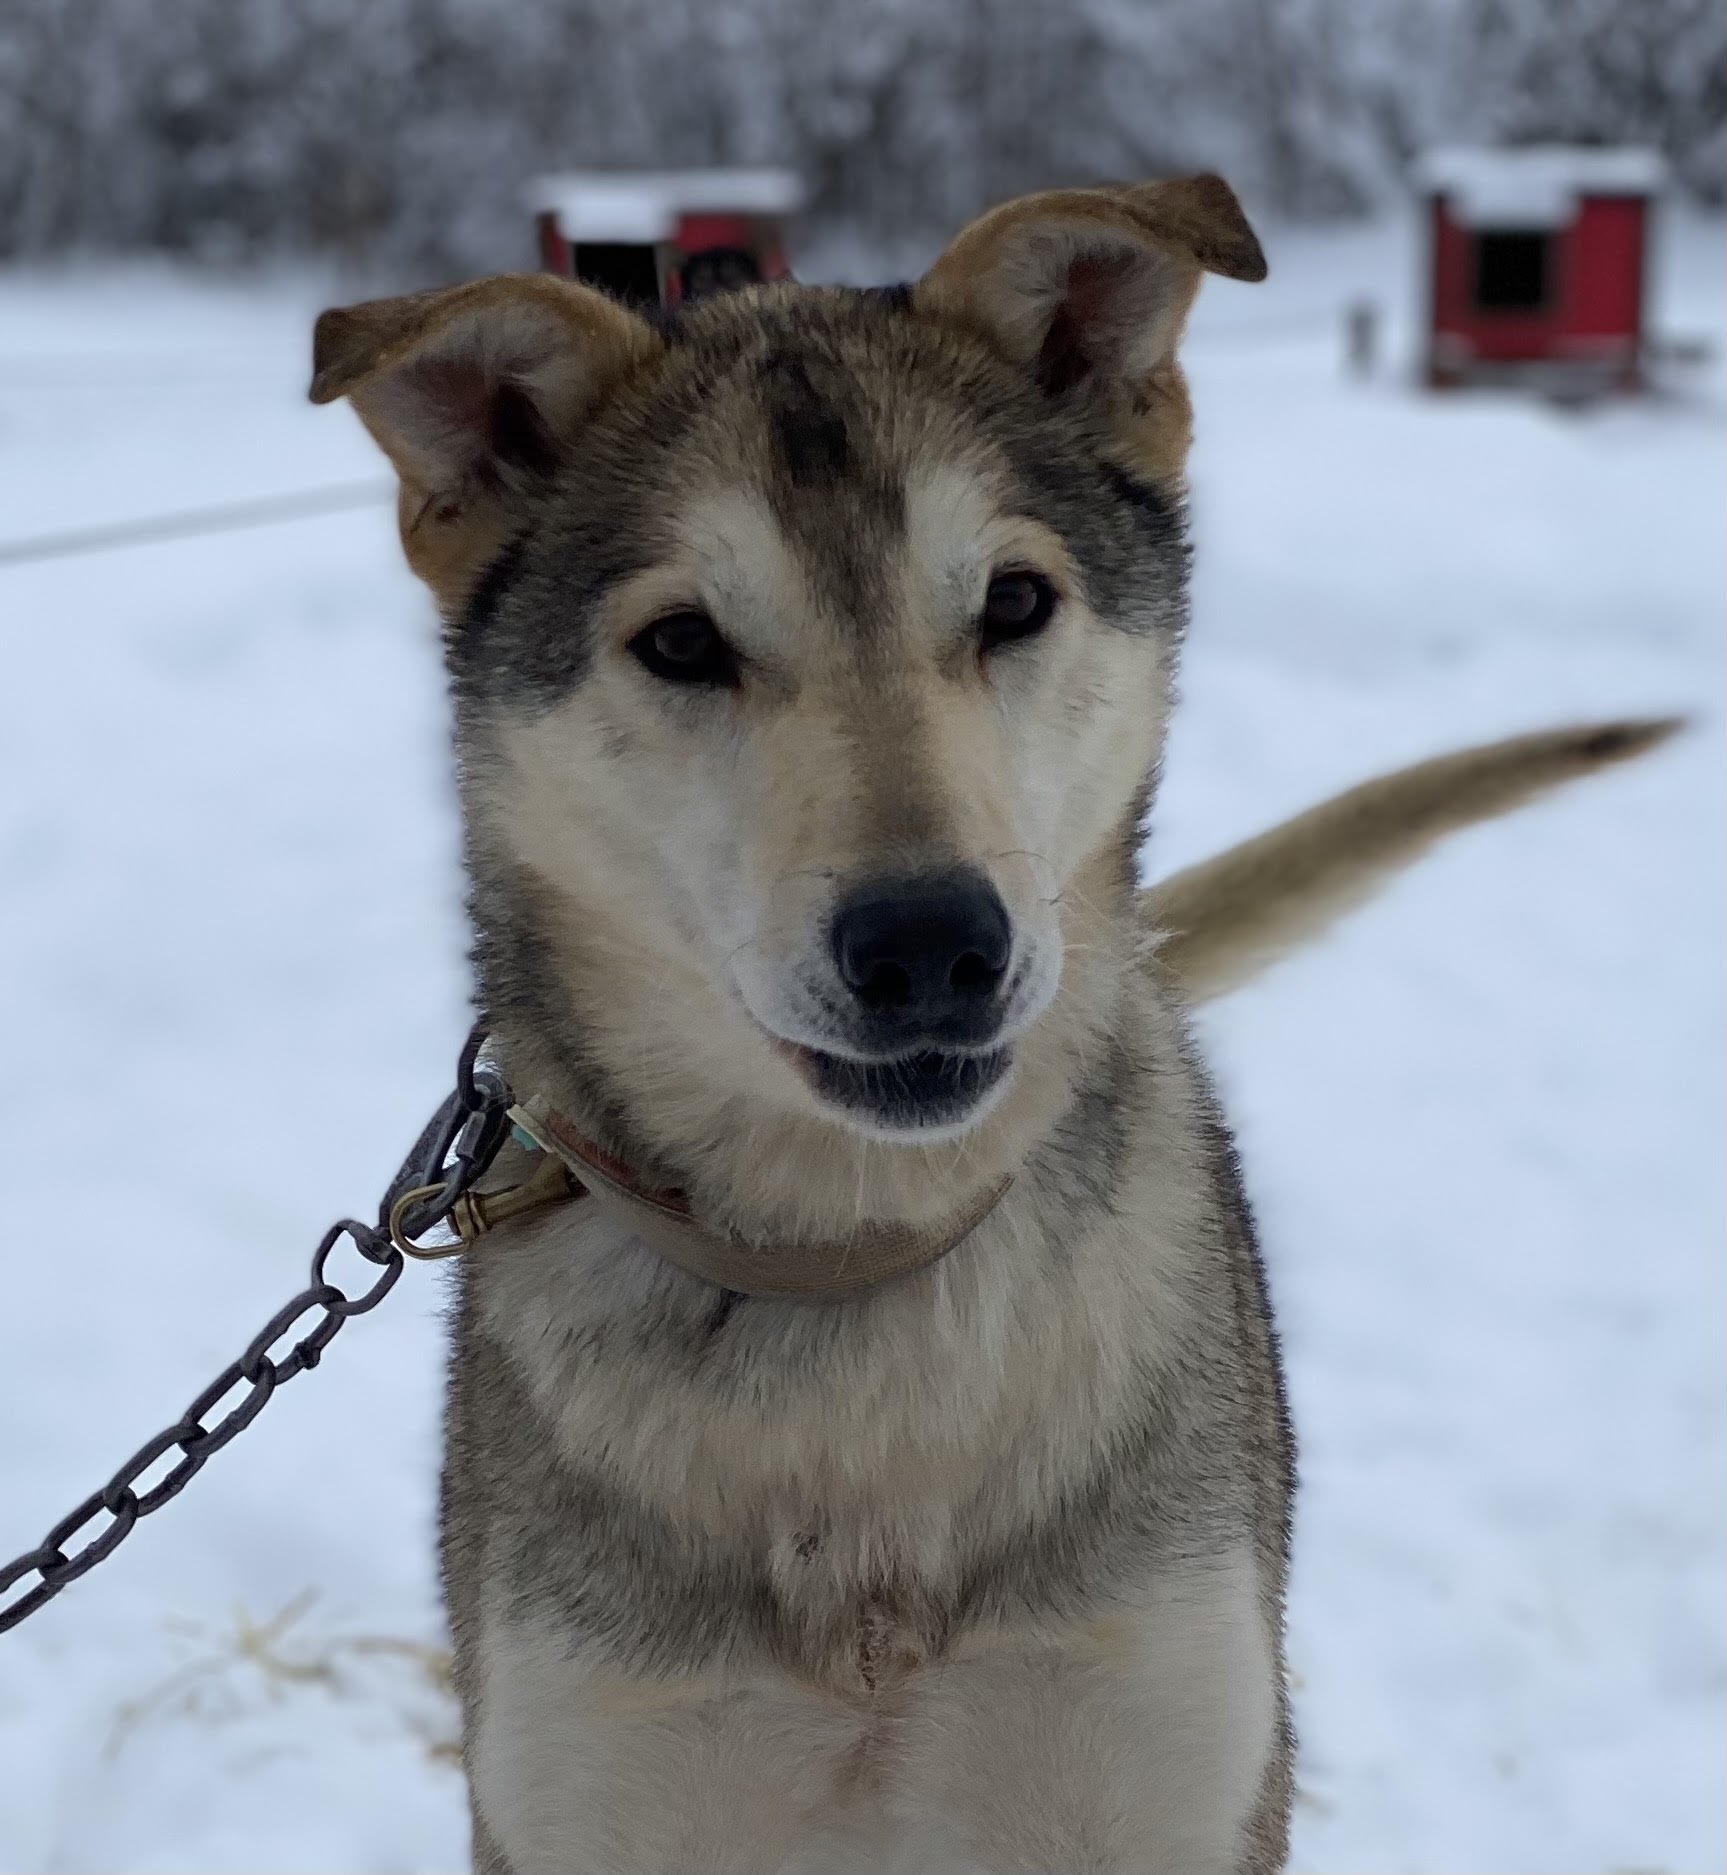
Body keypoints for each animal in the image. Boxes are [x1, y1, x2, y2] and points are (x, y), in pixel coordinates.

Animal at [313, 179, 1672, 1875]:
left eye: (1011, 602)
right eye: (682, 641)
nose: (928, 947)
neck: (852, 1271)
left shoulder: (1168, 1751)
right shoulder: (589, 1779)